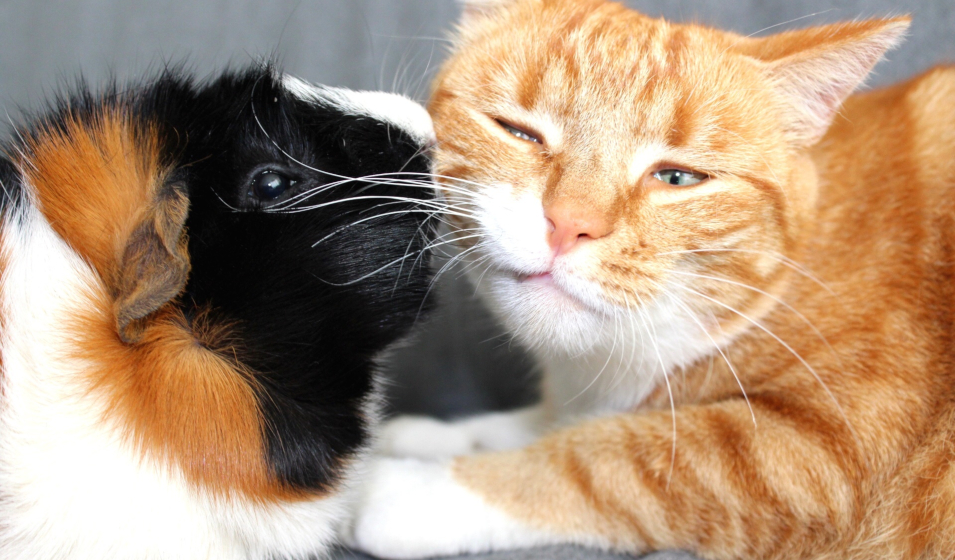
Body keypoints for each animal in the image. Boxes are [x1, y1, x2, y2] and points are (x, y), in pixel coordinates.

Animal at [343, 0, 955, 559]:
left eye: (679, 178)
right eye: (519, 132)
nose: (570, 224)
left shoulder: (819, 450)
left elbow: (608, 456)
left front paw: (414, 489)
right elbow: (548, 423)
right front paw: (438, 438)